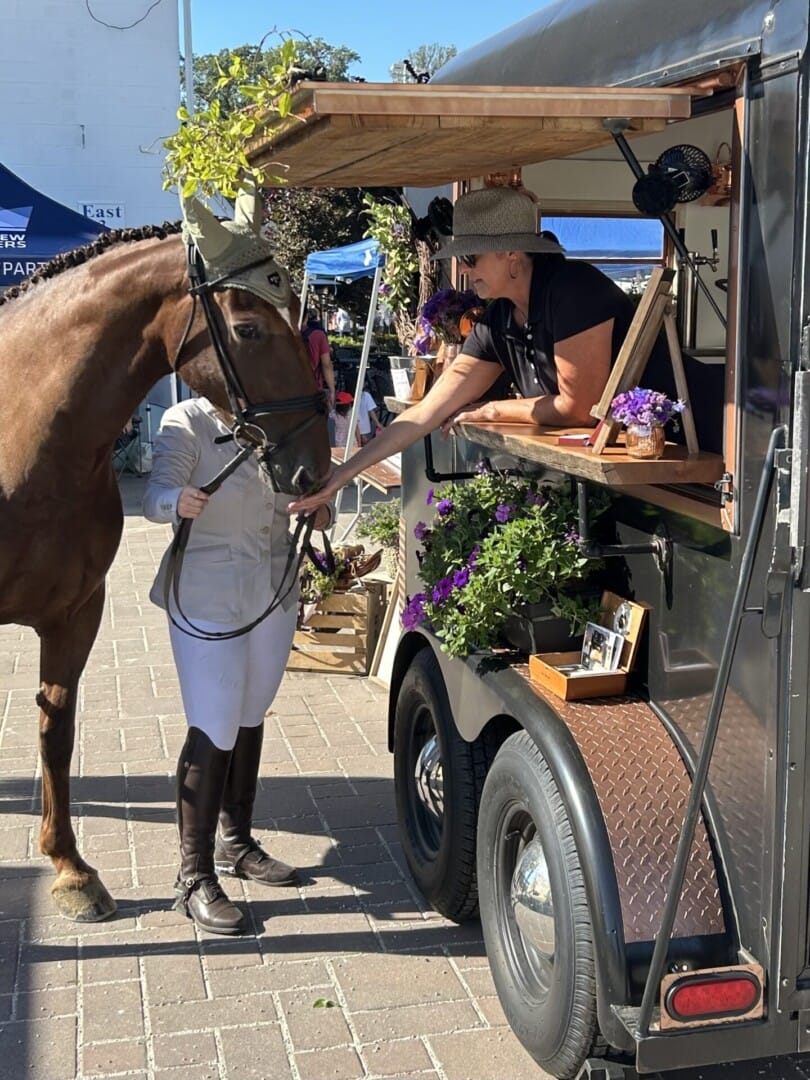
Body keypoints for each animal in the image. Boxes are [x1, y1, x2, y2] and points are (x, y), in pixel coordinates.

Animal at [0, 182, 331, 922]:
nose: (313, 470)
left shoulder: (77, 612)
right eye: (250, 329)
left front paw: (71, 870)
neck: (21, 440)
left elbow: (56, 730)